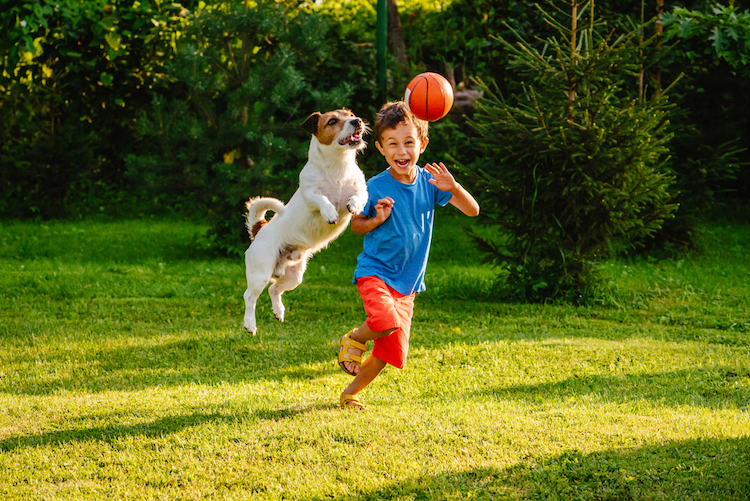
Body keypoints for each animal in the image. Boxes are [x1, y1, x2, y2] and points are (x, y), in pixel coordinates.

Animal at [242, 110, 368, 336]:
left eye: (350, 114)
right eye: (333, 121)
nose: (357, 121)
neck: (338, 167)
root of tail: (260, 229)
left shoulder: (361, 189)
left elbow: (358, 196)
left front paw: (353, 205)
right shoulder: (310, 194)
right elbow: (322, 200)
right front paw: (330, 212)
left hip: (294, 276)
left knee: (274, 289)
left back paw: (278, 311)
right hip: (260, 272)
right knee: (250, 296)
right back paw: (250, 324)